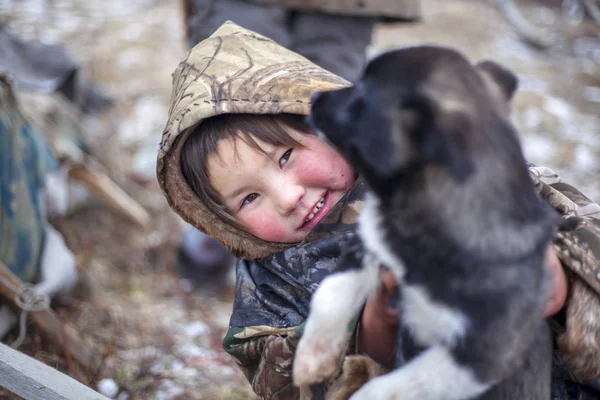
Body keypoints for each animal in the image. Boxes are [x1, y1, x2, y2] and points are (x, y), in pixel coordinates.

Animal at [292, 47, 560, 400]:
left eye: (362, 93)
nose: (313, 97)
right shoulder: (365, 245)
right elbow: (329, 295)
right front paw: (313, 358)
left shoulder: (482, 356)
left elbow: (393, 386)